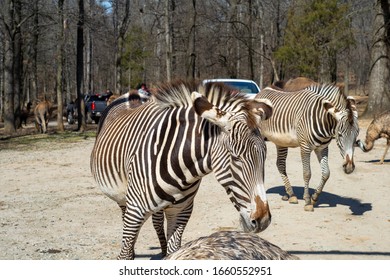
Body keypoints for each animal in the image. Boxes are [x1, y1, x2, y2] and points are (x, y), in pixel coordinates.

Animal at [90, 80, 274, 260]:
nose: (263, 220)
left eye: (264, 156)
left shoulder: (181, 211)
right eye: (236, 158)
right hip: (123, 199)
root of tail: (130, 96)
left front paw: (167, 253)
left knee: (157, 222)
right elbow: (125, 254)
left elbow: (175, 250)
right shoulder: (134, 212)